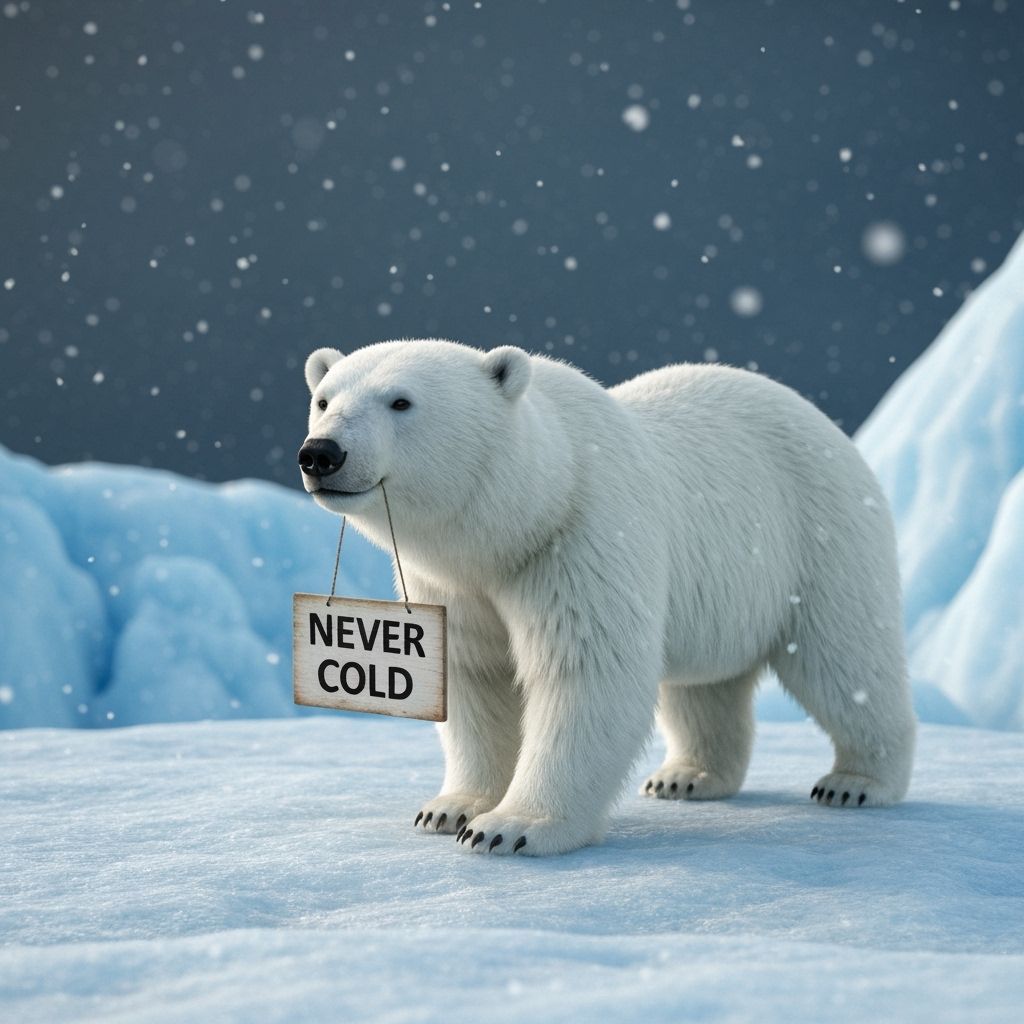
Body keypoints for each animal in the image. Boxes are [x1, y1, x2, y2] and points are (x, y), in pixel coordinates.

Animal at [299, 339, 916, 856]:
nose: (321, 453)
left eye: (401, 401)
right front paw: (450, 809)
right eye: (323, 399)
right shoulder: (454, 585)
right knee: (703, 688)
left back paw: (855, 783)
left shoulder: (581, 537)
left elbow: (584, 672)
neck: (521, 515)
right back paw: (686, 775)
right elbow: (474, 677)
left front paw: (512, 828)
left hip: (819, 536)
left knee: (845, 660)